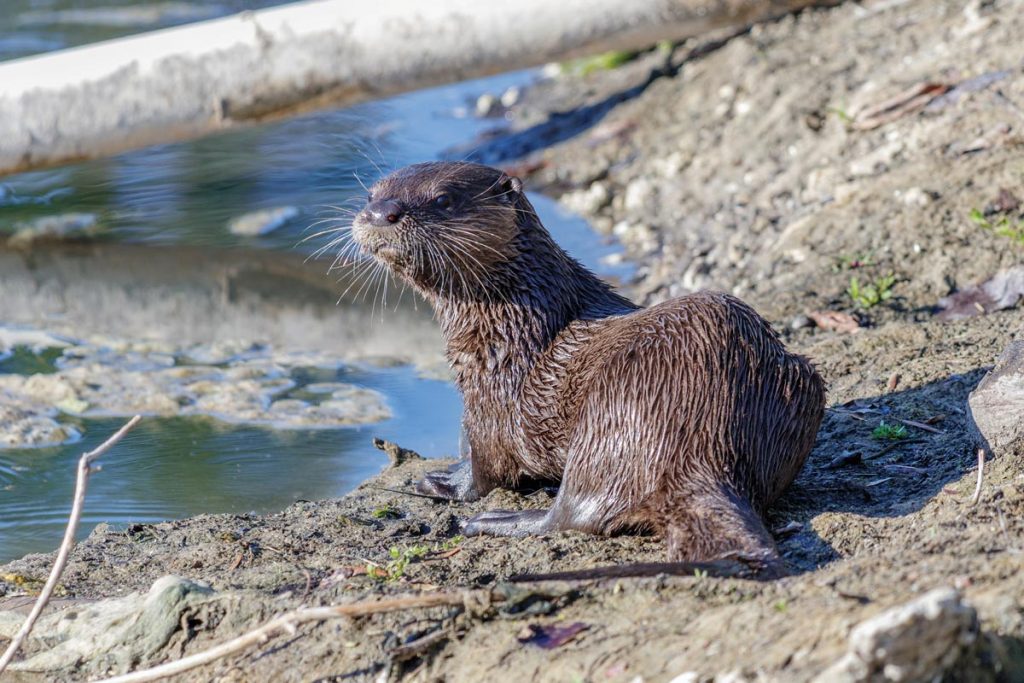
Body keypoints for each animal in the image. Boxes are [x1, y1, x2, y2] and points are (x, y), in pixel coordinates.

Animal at [351, 161, 825, 577]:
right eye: (371, 194)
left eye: (443, 199)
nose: (380, 213)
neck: (511, 326)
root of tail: (707, 440)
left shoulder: (492, 404)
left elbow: (484, 469)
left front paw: (445, 483)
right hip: (798, 389)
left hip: (609, 415)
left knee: (573, 515)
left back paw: (499, 521)